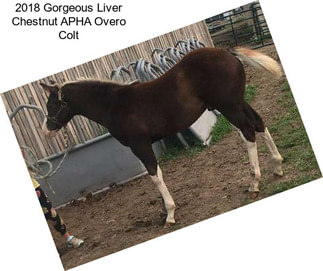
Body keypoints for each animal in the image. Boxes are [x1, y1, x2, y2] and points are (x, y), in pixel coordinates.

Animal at [39, 47, 284, 227]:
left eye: (53, 105)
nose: (46, 130)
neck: (113, 104)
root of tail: (226, 51)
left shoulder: (140, 144)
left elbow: (155, 175)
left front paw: (170, 214)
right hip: (238, 103)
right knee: (259, 124)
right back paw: (278, 166)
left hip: (229, 107)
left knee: (248, 132)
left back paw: (254, 183)